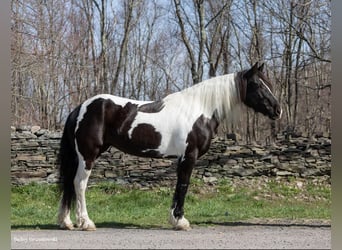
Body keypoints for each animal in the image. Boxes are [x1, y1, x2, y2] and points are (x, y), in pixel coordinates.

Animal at [57, 62, 282, 230]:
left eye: (269, 83)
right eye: (258, 85)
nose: (277, 110)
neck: (200, 109)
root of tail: (80, 108)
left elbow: (178, 186)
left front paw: (175, 218)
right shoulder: (189, 156)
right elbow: (183, 185)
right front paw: (180, 221)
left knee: (69, 183)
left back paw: (67, 222)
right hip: (88, 155)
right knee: (79, 184)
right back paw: (86, 222)